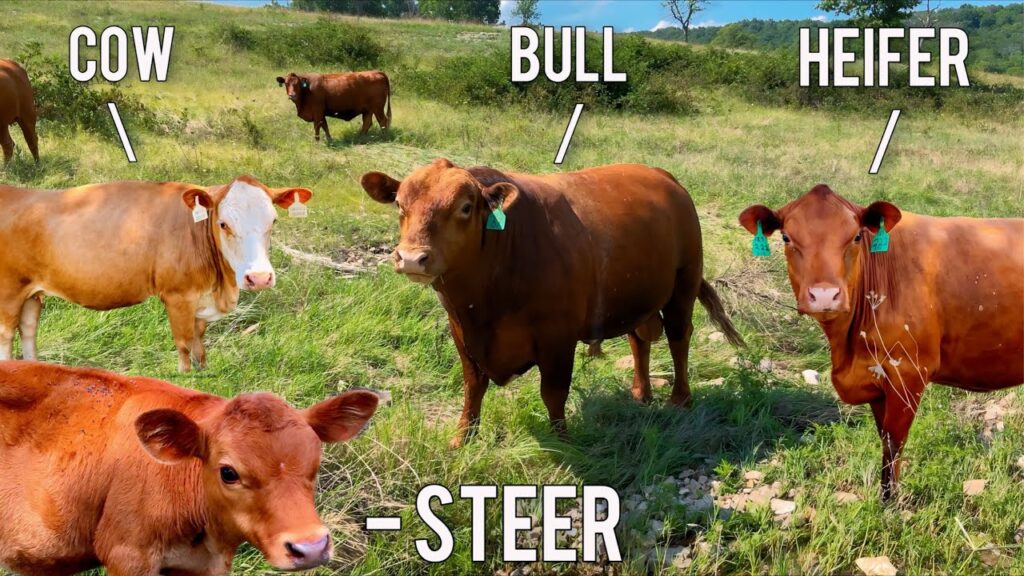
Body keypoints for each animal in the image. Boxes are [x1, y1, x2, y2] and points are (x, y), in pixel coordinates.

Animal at [0, 176, 312, 371]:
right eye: (223, 223)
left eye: (273, 221)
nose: (259, 278)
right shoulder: (178, 296)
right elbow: (184, 343)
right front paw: (187, 378)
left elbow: (199, 342)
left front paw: (204, 369)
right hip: (9, 291)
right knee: (6, 334)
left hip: (32, 291)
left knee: (28, 329)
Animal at [361, 159, 744, 447]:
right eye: (400, 205)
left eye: (465, 208)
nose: (412, 258)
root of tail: (663, 176)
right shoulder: (461, 332)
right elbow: (472, 388)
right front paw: (462, 439)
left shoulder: (557, 337)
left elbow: (553, 392)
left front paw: (562, 441)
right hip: (635, 295)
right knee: (639, 341)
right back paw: (641, 393)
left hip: (684, 283)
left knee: (679, 338)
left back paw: (680, 400)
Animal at [739, 185, 1023, 501]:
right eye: (786, 237)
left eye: (856, 236)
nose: (824, 295)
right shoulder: (874, 380)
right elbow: (884, 438)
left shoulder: (908, 372)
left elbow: (894, 442)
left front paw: (889, 503)